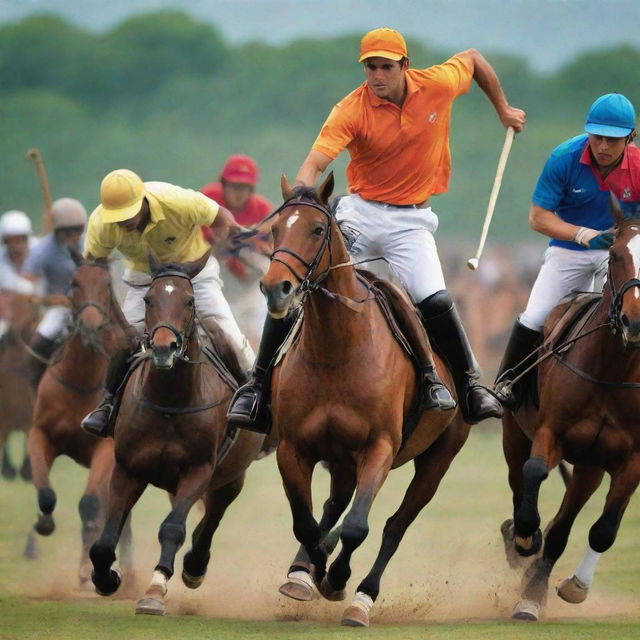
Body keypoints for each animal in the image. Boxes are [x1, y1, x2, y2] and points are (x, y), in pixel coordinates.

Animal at [89, 258, 264, 616]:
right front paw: (106, 578)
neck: (171, 400)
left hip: (231, 476)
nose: (163, 348)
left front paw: (155, 590)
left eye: (189, 301)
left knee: (212, 516)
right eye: (148, 300)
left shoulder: (199, 469)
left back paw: (195, 565)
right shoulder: (127, 468)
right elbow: (106, 536)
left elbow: (172, 527)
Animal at [258, 175, 468, 624]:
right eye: (275, 229)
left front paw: (337, 579)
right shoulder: (292, 447)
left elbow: (358, 526)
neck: (335, 350)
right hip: (341, 459)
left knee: (394, 524)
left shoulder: (379, 448)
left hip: (438, 458)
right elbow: (307, 523)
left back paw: (363, 594)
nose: (275, 289)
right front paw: (306, 571)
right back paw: (307, 567)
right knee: (333, 505)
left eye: (317, 229)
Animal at [502, 200, 640, 620]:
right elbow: (534, 474)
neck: (611, 372)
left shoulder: (633, 458)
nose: (634, 322)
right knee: (520, 482)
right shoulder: (551, 433)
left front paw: (573, 587)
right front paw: (526, 536)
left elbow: (604, 529)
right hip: (515, 434)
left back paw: (536, 587)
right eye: (615, 254)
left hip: (591, 466)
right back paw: (520, 540)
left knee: (564, 523)